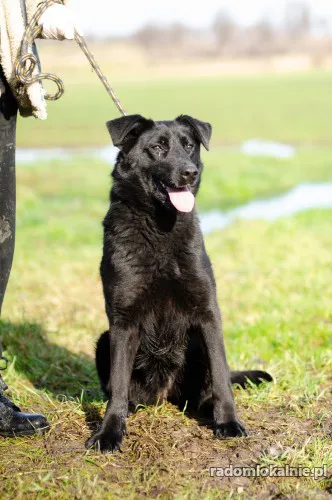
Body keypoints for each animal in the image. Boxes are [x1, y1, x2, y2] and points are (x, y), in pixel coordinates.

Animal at [86, 114, 272, 454]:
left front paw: (228, 422)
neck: (161, 227)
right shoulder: (123, 321)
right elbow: (118, 384)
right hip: (105, 340)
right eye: (158, 147)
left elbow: (222, 378)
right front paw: (109, 432)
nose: (190, 172)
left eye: (189, 146)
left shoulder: (208, 314)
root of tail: (166, 394)